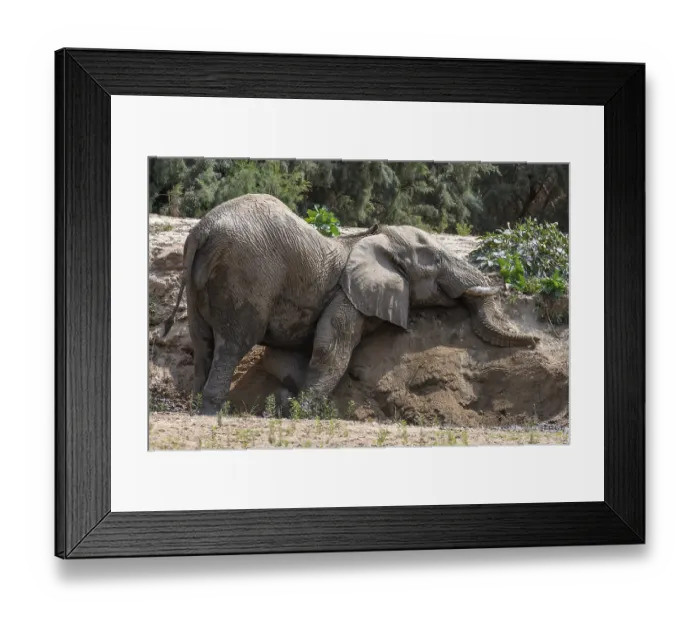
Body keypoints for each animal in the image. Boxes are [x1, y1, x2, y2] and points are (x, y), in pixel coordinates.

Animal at [162, 193, 539, 415]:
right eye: (436, 260)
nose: (535, 340)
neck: (370, 238)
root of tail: (202, 231)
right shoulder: (348, 298)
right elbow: (330, 350)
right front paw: (301, 412)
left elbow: (289, 355)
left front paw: (285, 404)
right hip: (246, 275)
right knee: (233, 344)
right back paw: (213, 412)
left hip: (199, 284)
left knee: (203, 343)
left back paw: (196, 407)